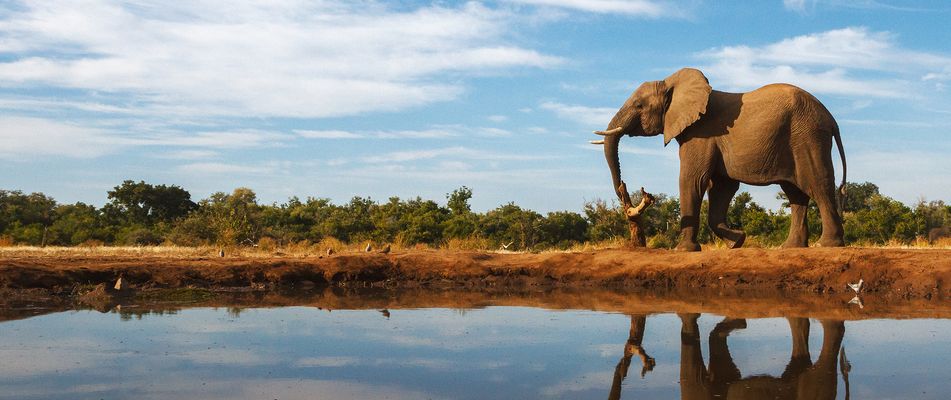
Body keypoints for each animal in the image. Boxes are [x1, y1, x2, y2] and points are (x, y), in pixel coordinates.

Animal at [596, 68, 848, 250]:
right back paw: (790, 248)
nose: (626, 193)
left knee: (817, 184)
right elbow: (721, 187)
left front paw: (683, 250)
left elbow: (692, 180)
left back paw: (826, 245)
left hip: (807, 137)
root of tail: (831, 119)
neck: (671, 83)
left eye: (639, 105)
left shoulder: (701, 134)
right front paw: (737, 242)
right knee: (796, 193)